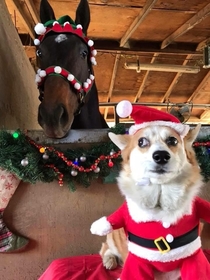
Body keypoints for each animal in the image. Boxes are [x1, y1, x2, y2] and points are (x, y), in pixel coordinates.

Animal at [91, 100, 210, 280]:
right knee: (106, 248)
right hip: (113, 234)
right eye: (142, 142)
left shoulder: (193, 256)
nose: (161, 156)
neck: (161, 200)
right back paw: (110, 260)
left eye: (173, 141)